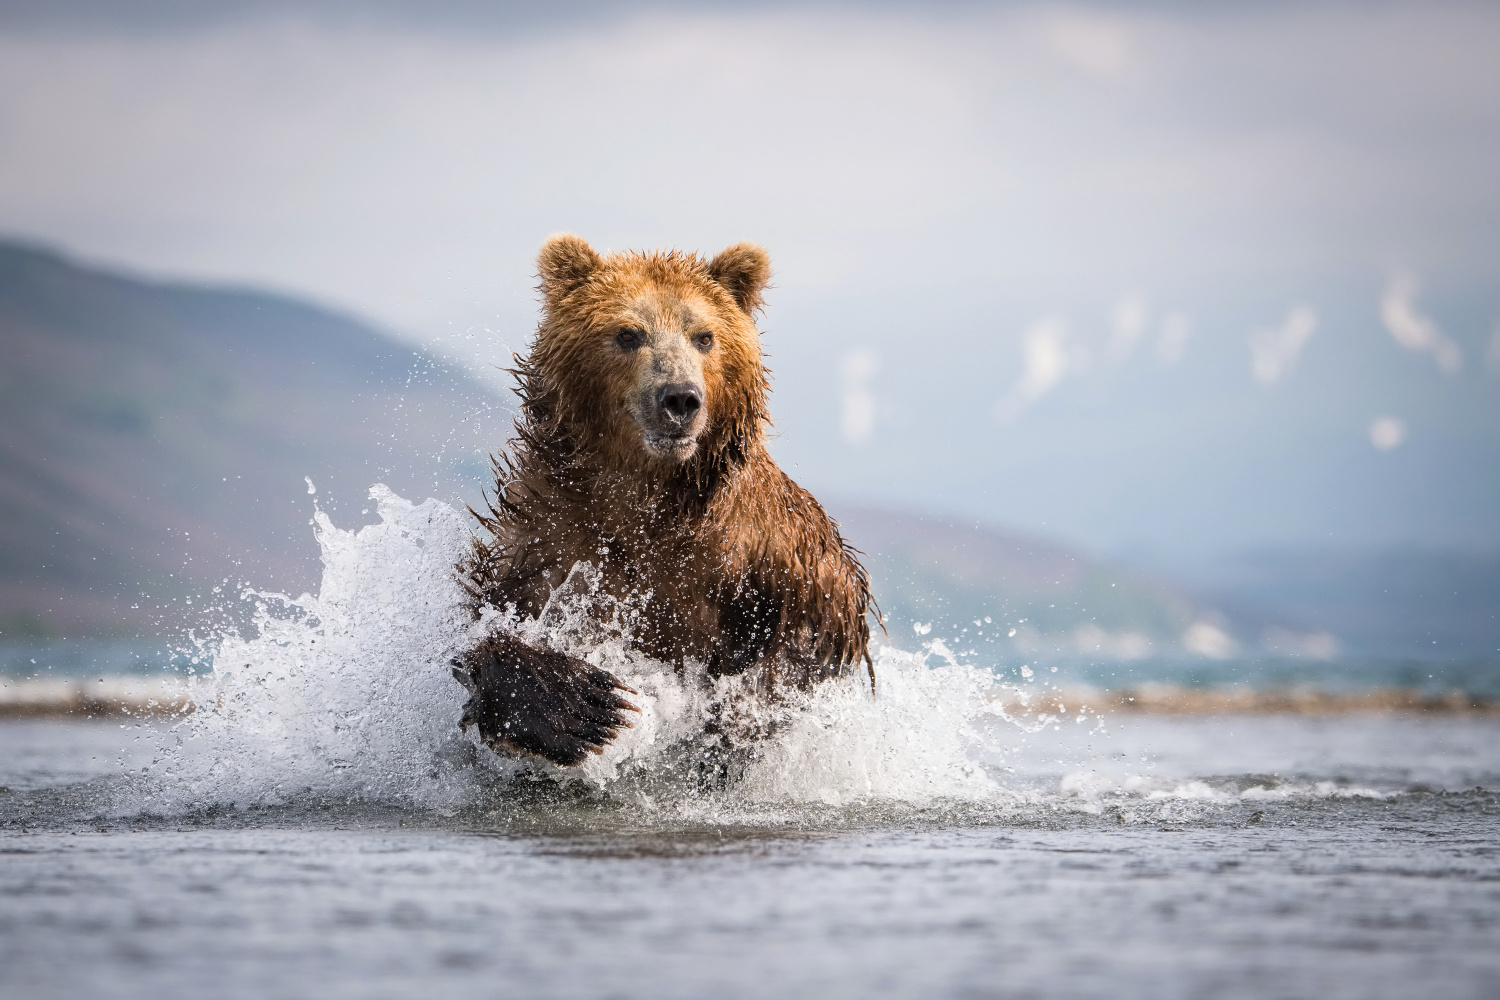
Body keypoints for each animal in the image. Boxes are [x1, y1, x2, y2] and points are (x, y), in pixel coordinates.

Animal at [453, 235, 876, 767]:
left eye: (705, 336)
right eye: (628, 333)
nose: (679, 398)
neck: (650, 493)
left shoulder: (770, 551)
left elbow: (808, 641)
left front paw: (737, 710)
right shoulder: (552, 529)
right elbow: (491, 618)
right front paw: (585, 706)